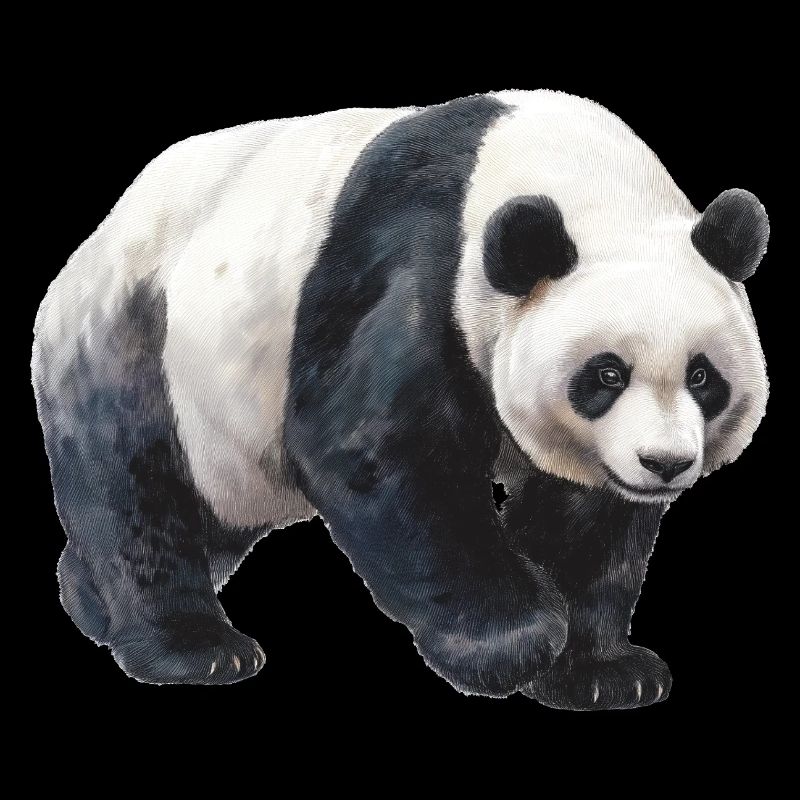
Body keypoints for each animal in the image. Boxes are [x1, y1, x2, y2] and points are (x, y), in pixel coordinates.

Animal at [31, 90, 769, 710]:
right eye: (607, 375)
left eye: (702, 377)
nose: (665, 463)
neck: (584, 182)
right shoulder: (417, 258)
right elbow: (377, 449)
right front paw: (514, 643)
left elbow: (589, 517)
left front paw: (600, 671)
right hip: (139, 328)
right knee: (136, 484)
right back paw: (193, 648)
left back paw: (88, 598)